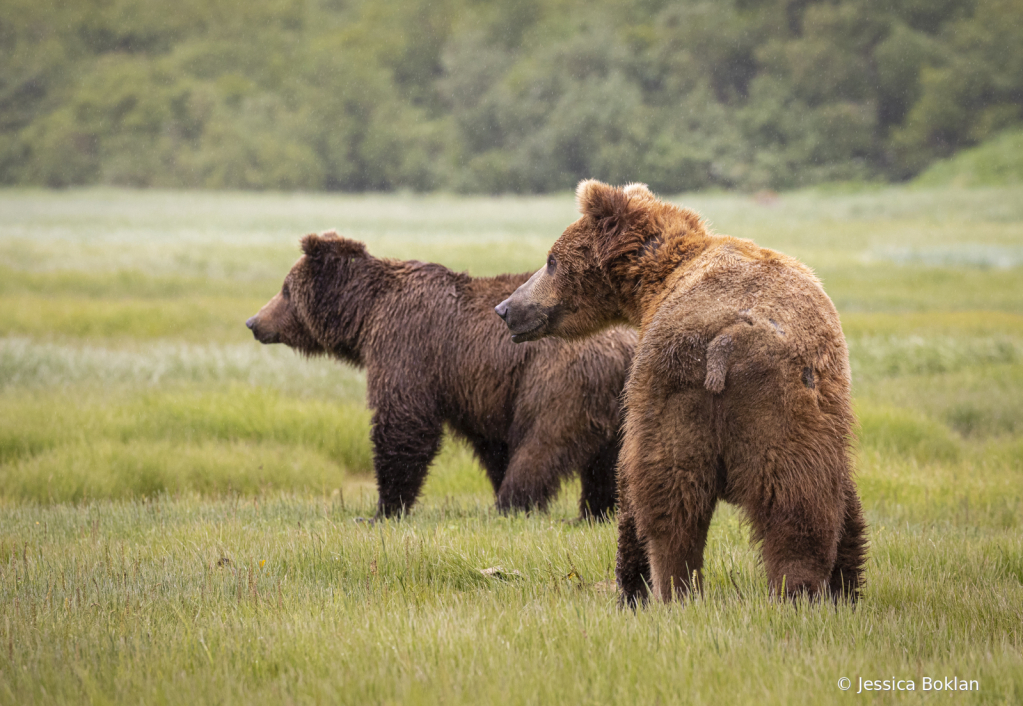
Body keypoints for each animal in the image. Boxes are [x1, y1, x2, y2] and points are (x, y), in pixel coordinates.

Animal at [244, 231, 634, 517]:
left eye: (285, 289)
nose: (253, 322)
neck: (366, 315)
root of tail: (626, 342)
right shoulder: (481, 389)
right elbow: (492, 443)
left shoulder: (408, 347)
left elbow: (404, 424)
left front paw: (384, 509)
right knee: (608, 463)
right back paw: (598, 512)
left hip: (560, 380)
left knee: (541, 444)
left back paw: (512, 505)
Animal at [499, 179, 867, 601]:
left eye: (551, 260)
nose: (506, 308)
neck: (654, 283)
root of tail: (731, 336)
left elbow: (631, 484)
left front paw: (629, 586)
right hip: (788, 407)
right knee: (800, 502)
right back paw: (801, 590)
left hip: (676, 387)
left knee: (670, 498)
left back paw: (672, 588)